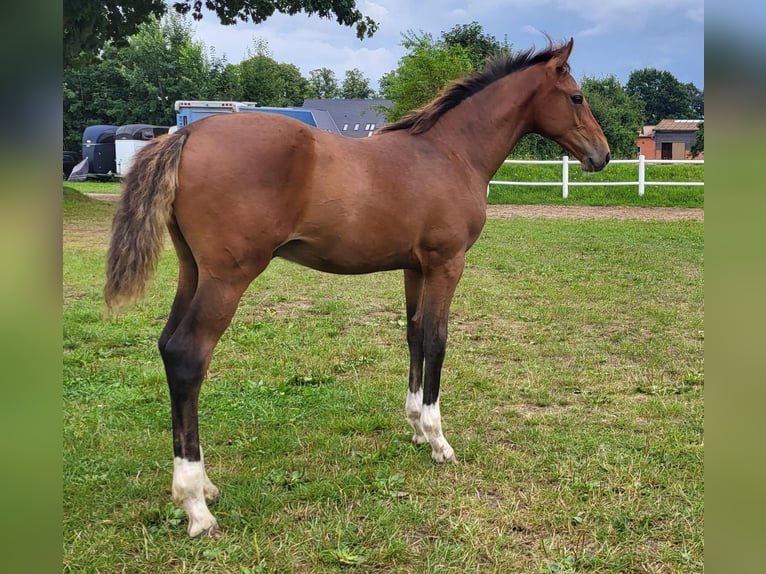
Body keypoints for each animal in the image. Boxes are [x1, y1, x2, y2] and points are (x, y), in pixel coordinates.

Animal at [106, 38, 612, 536]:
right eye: (576, 97)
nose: (602, 155)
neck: (450, 154)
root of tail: (185, 135)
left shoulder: (415, 268)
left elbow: (414, 336)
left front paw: (415, 429)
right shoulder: (447, 265)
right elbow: (438, 340)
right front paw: (439, 441)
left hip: (192, 271)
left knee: (168, 345)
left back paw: (204, 488)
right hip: (228, 278)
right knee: (188, 356)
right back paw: (196, 506)